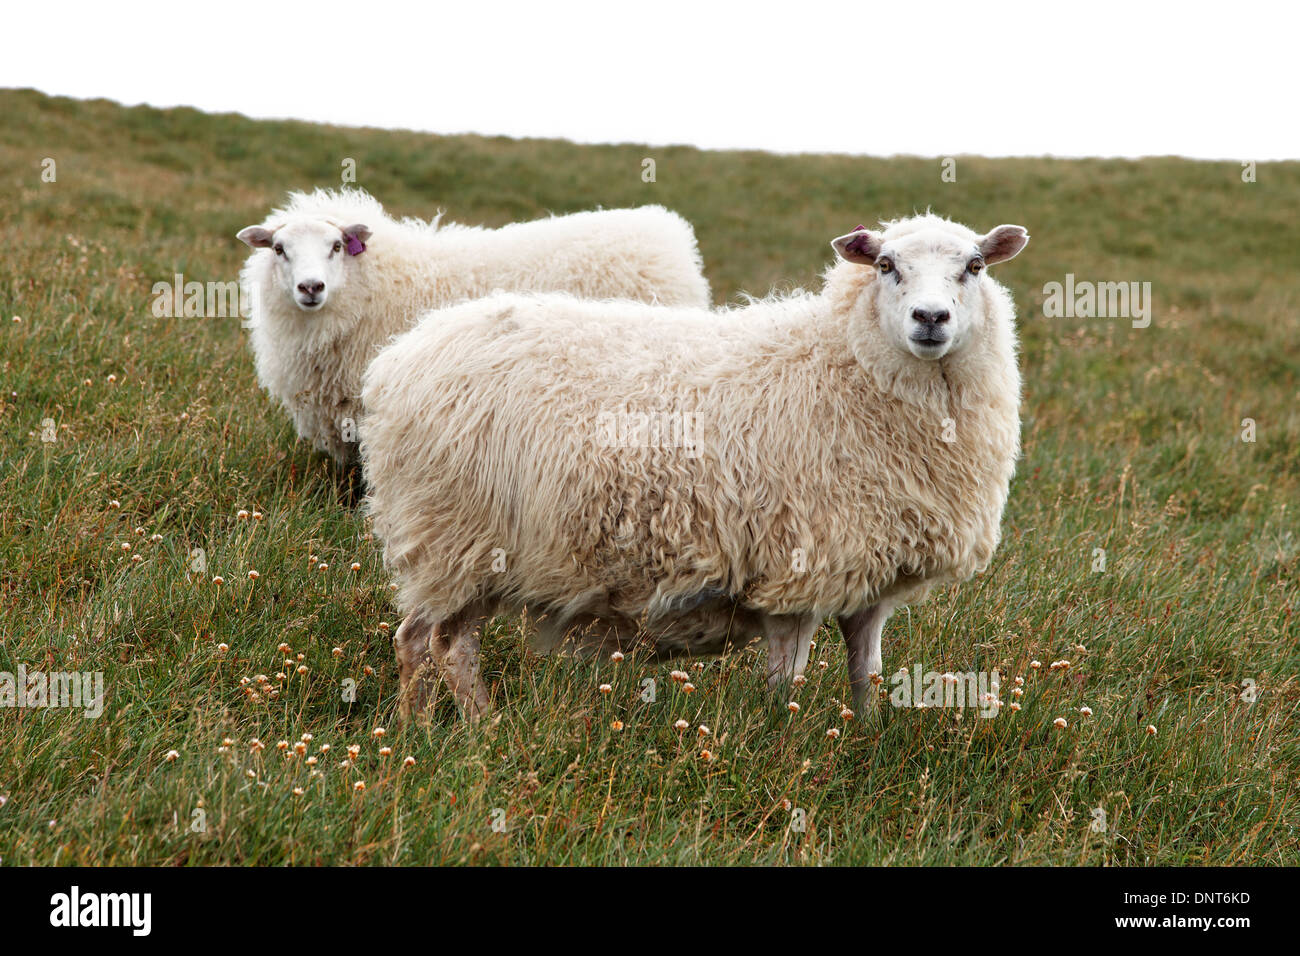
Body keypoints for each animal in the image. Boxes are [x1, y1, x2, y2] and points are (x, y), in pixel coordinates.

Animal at [361, 210, 1029, 717]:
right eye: (887, 266)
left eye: (975, 266)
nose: (931, 319)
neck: (842, 365)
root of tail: (400, 357)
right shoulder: (794, 570)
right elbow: (784, 684)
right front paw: (782, 745)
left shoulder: (868, 572)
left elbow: (867, 674)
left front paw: (864, 737)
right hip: (452, 532)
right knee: (432, 643)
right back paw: (447, 730)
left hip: (471, 548)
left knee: (438, 640)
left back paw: (450, 726)